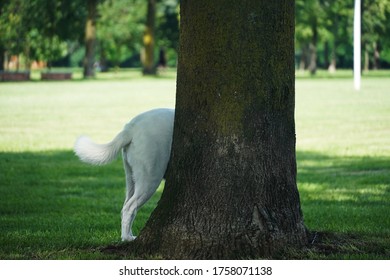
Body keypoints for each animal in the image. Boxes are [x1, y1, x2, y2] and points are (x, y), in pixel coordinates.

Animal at [74, 108, 174, 242]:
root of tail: (131, 127)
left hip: (131, 179)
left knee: (126, 206)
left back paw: (128, 235)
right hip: (150, 177)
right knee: (129, 207)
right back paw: (127, 238)